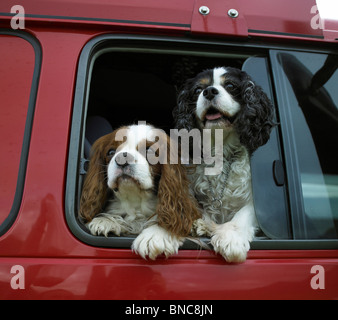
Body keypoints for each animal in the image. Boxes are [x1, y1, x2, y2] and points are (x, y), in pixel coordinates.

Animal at [79, 122, 201, 260]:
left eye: (149, 150)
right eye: (111, 152)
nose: (122, 158)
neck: (136, 199)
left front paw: (156, 234)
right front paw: (107, 220)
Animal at [174, 67, 274, 262]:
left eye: (230, 85)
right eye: (198, 90)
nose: (209, 91)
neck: (220, 149)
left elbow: (245, 212)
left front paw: (231, 237)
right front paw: (202, 223)